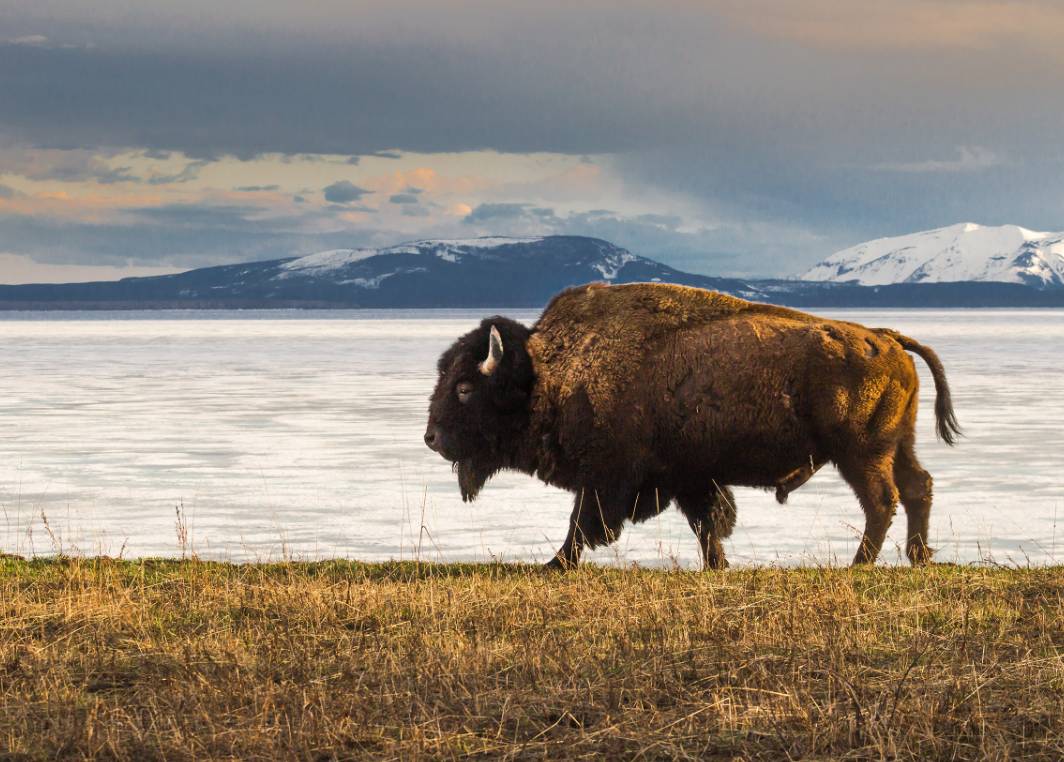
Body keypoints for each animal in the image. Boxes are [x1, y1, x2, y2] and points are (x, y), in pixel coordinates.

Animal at [421, 283, 957, 570]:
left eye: (465, 387)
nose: (431, 438)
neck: (546, 372)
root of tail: (887, 338)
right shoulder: (689, 477)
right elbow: (707, 522)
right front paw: (717, 565)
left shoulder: (607, 478)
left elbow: (581, 524)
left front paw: (555, 564)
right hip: (897, 444)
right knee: (918, 487)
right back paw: (919, 557)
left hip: (861, 453)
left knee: (882, 500)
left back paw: (858, 564)